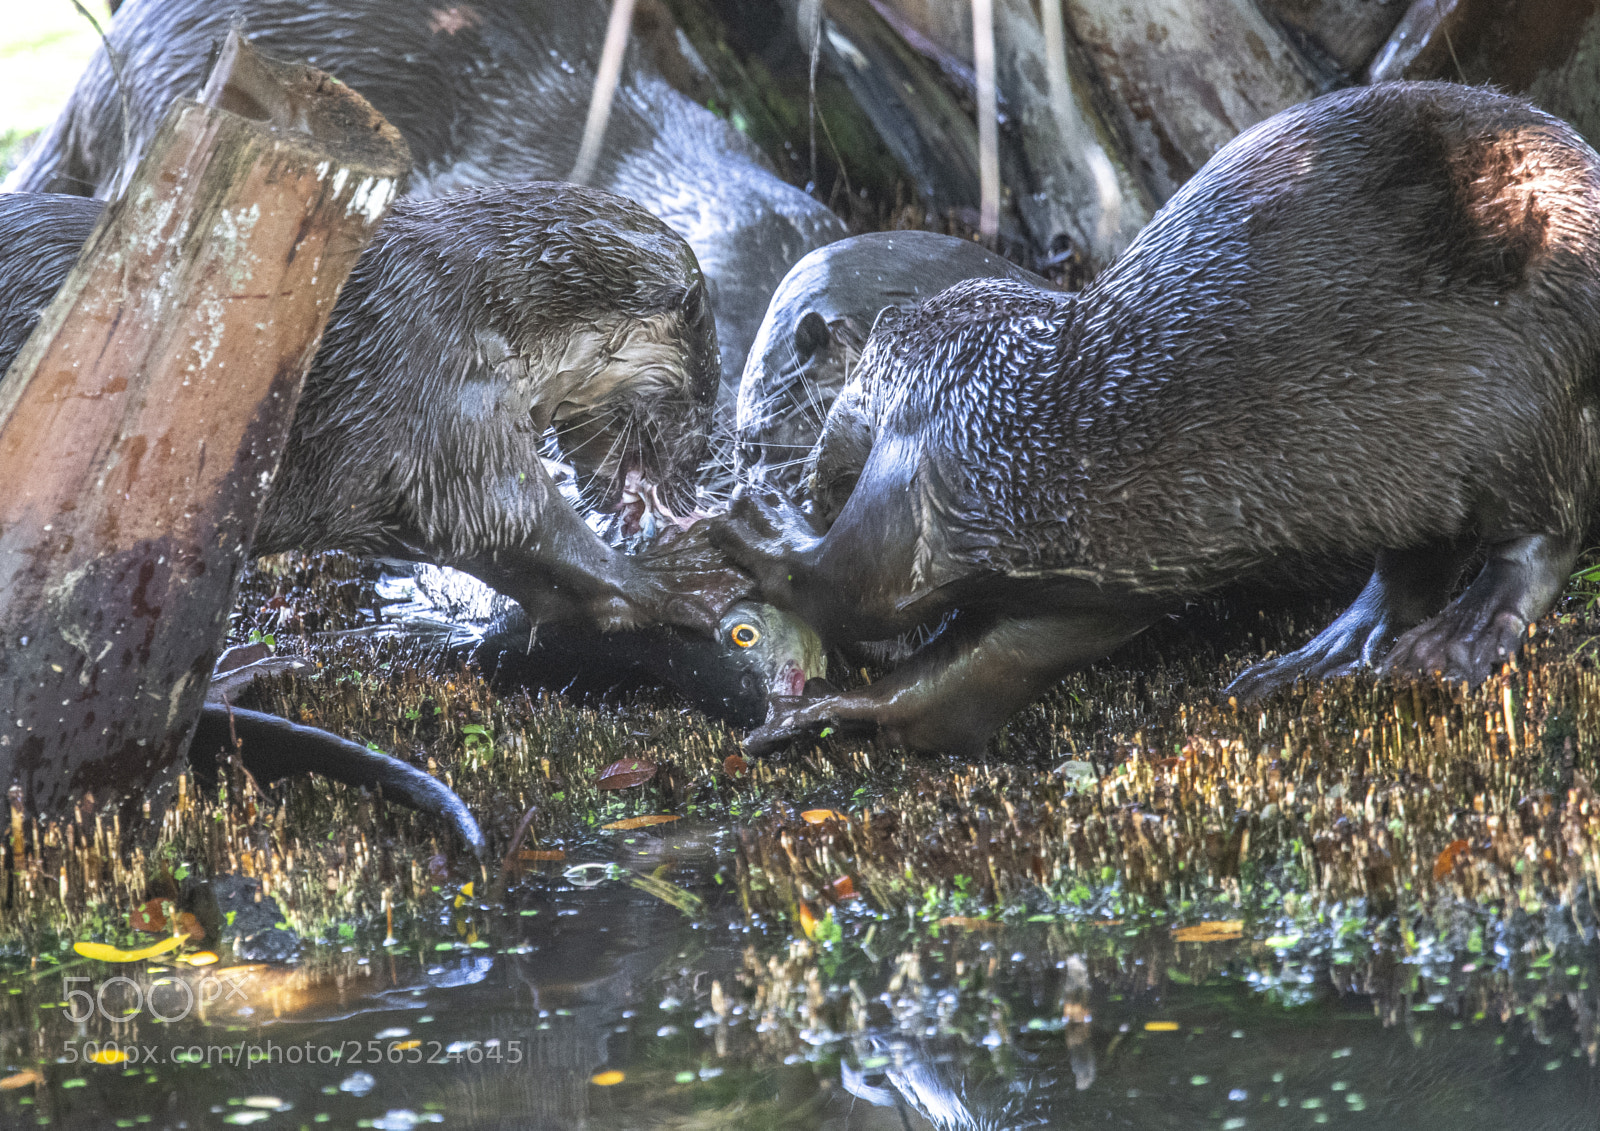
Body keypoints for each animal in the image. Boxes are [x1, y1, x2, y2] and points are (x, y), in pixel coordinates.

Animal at [709, 82, 1600, 757]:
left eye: (807, 407)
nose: (791, 473)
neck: (987, 370)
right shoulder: (1079, 591)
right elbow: (975, 674)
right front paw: (829, 712)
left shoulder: (938, 449)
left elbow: (860, 581)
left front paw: (757, 525)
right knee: (1414, 561)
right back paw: (1325, 650)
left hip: (1518, 402)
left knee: (1547, 531)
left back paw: (1460, 636)